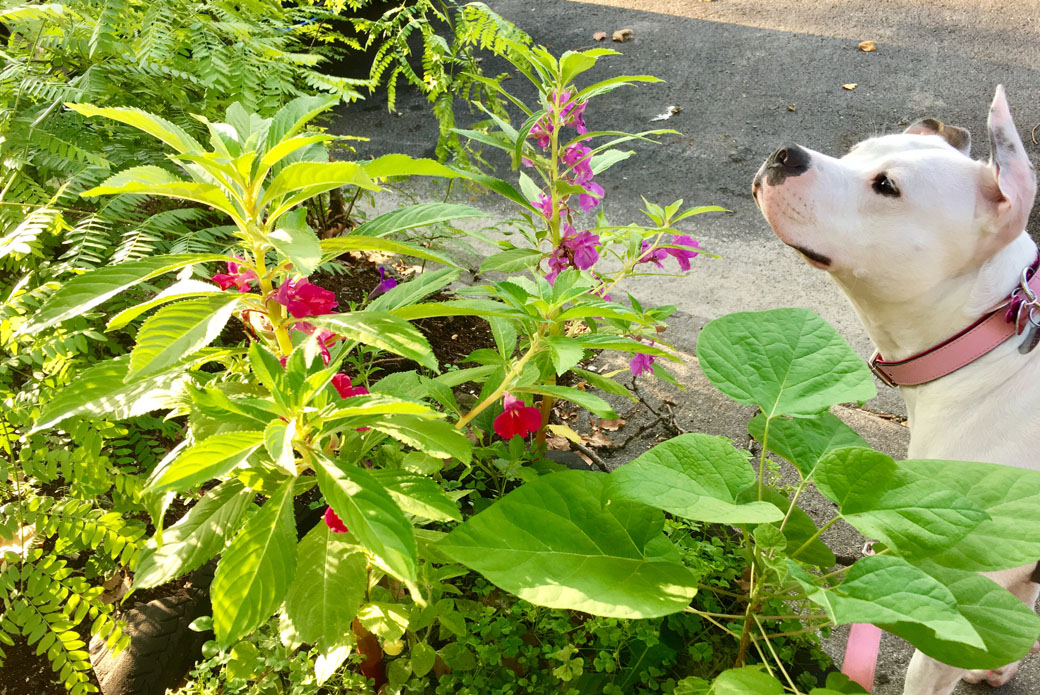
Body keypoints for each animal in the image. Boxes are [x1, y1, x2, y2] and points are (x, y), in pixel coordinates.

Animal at [752, 86, 1040, 695]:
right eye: (857, 152)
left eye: (886, 187)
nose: (786, 153)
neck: (985, 342)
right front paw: (1001, 664)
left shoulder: (959, 604)